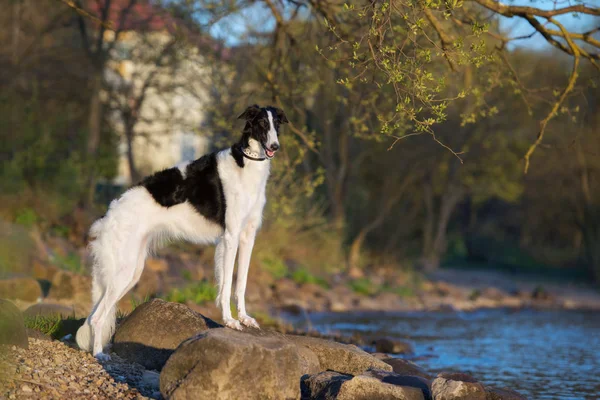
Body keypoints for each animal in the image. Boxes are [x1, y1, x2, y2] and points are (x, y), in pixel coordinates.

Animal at [77, 104, 288, 360]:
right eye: (262, 124)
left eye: (277, 124)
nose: (275, 146)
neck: (245, 165)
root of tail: (106, 217)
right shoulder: (230, 236)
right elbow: (227, 284)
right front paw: (229, 321)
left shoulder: (247, 237)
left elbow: (241, 284)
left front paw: (244, 318)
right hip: (122, 273)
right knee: (97, 318)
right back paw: (99, 354)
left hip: (130, 272)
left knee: (96, 315)